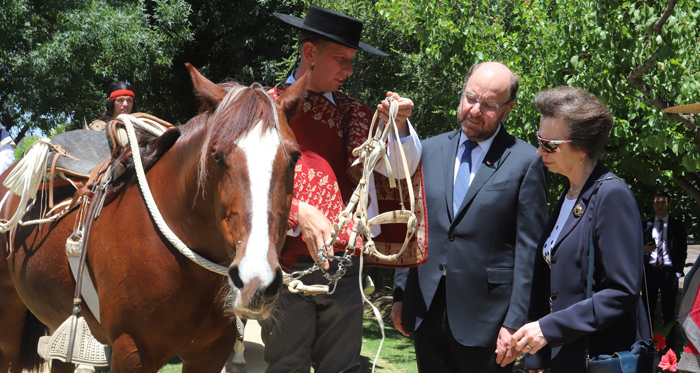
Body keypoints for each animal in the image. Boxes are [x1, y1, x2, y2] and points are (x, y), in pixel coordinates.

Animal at [0, 62, 306, 370]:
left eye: (294, 157)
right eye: (217, 155)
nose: (256, 280)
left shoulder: (211, 352)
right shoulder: (131, 351)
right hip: (10, 317)